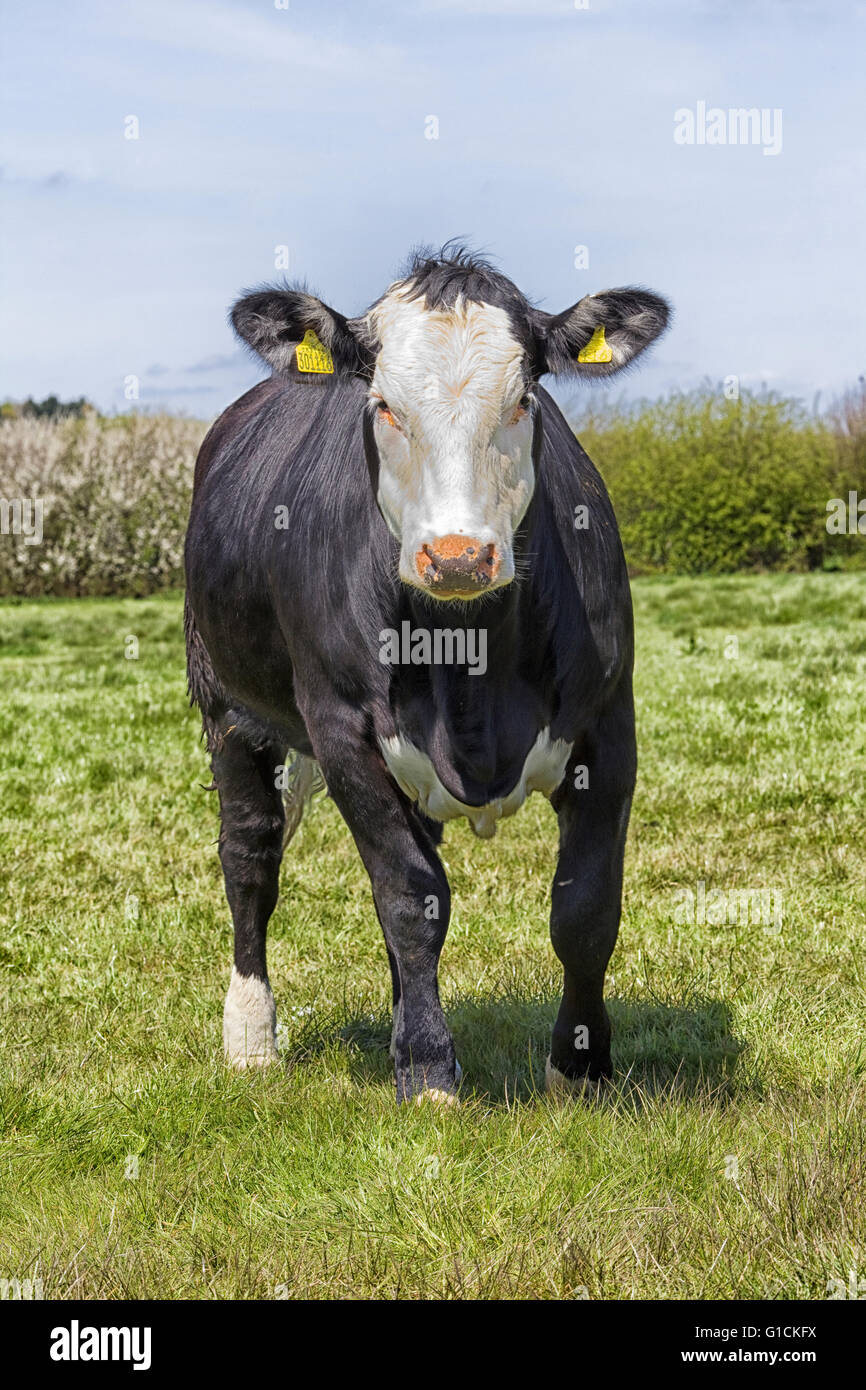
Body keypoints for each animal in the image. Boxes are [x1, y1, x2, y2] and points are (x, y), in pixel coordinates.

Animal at [184, 246, 670, 1104]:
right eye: (382, 405)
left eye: (524, 398)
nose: (456, 555)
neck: (469, 669)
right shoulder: (341, 730)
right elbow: (413, 900)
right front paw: (429, 1071)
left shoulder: (610, 725)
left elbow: (584, 910)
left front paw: (580, 1067)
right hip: (228, 707)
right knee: (250, 858)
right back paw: (251, 1038)